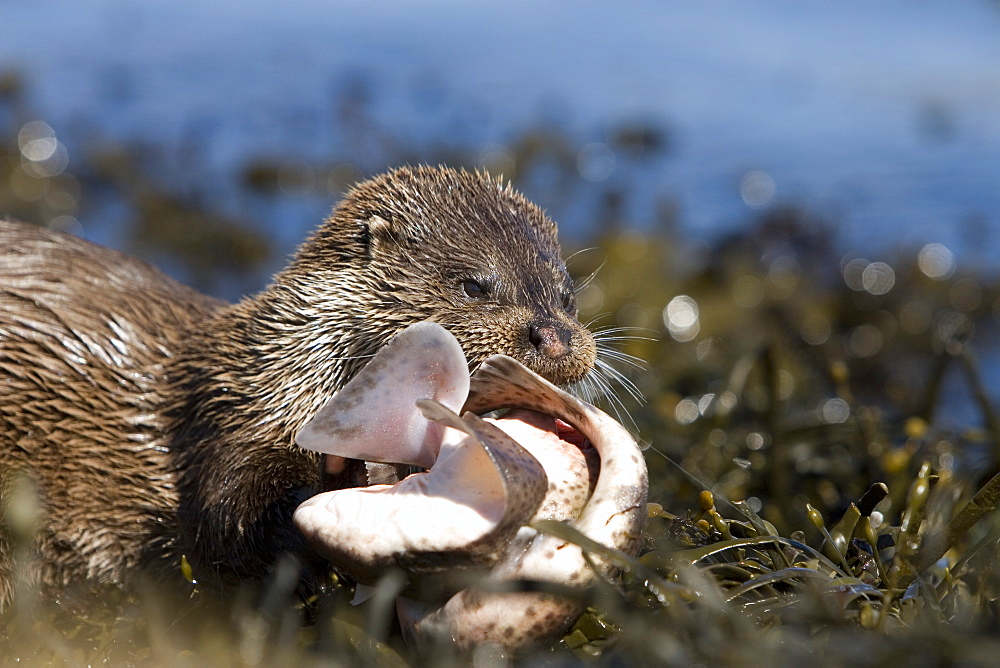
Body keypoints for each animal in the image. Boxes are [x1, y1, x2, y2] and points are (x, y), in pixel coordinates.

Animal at [0, 166, 592, 604]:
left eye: (566, 296)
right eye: (474, 286)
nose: (555, 337)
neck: (282, 378)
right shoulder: (228, 421)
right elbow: (228, 520)